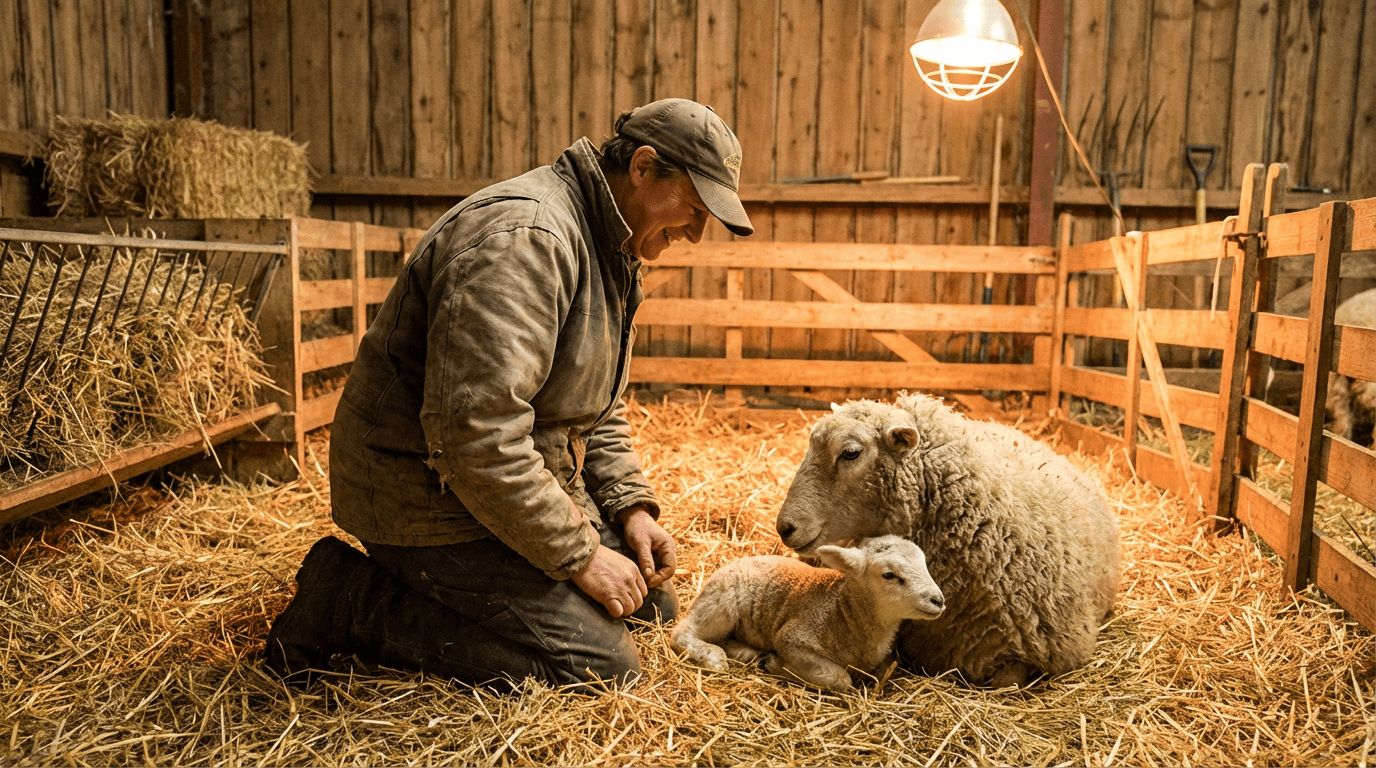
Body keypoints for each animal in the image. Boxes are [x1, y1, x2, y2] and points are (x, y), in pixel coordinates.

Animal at [670, 535, 945, 692]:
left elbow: (881, 673)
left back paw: (745, 652)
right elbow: (841, 678)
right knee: (683, 632)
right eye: (889, 575)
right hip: (721, 603)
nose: (938, 600)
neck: (843, 611)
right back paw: (714, 657)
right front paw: (778, 665)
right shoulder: (792, 638)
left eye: (924, 563)